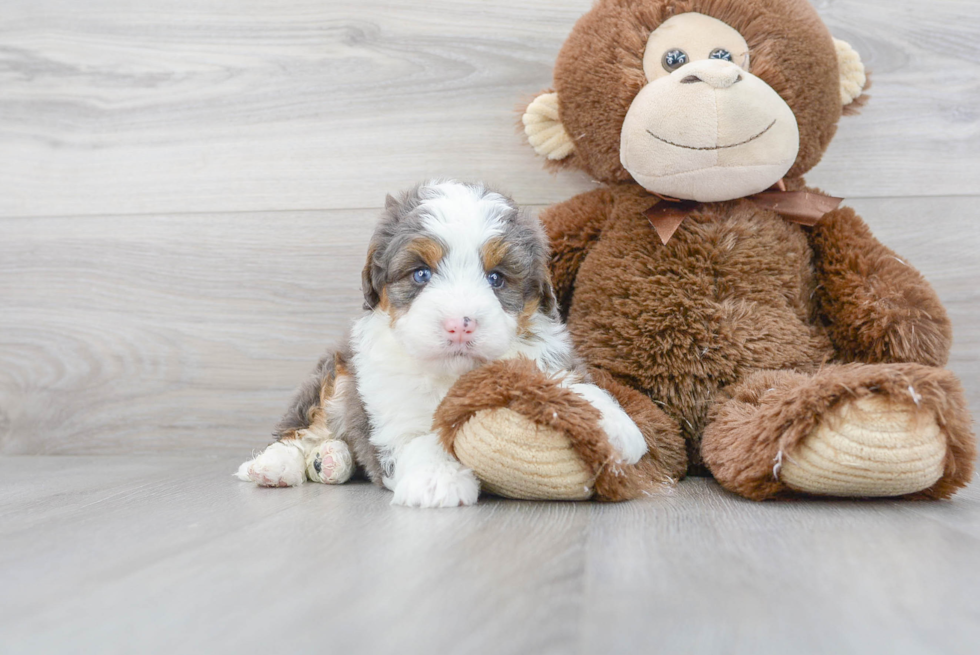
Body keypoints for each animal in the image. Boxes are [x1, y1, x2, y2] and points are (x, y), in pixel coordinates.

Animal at [238, 182, 648, 510]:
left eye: (496, 278)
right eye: (421, 274)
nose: (459, 326)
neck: (451, 374)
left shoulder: (543, 354)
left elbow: (569, 382)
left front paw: (612, 425)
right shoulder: (392, 411)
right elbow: (419, 439)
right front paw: (437, 479)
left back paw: (332, 459)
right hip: (335, 376)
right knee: (299, 430)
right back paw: (274, 466)